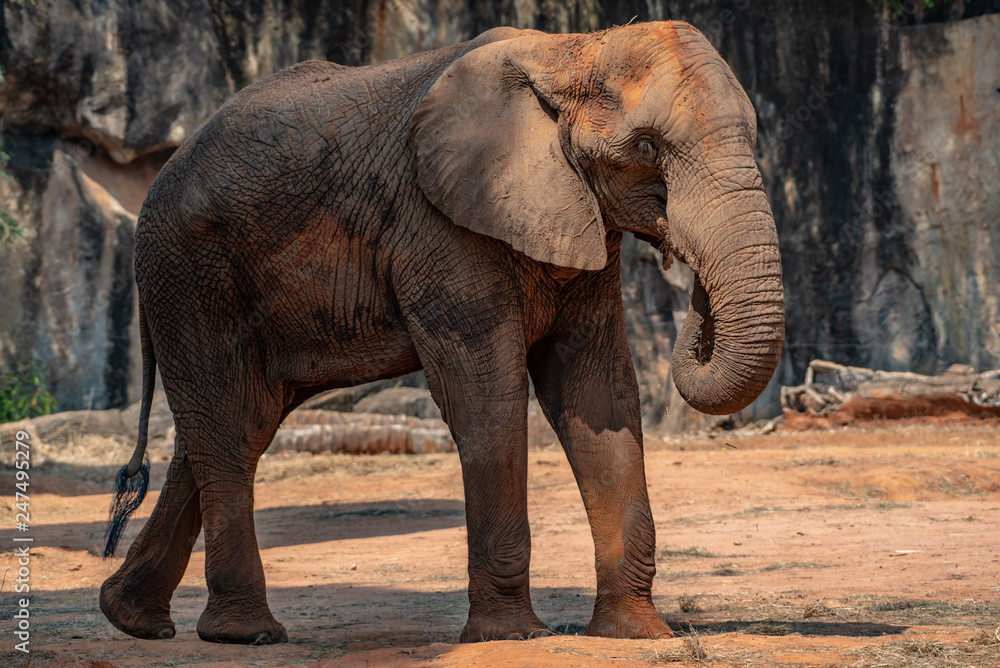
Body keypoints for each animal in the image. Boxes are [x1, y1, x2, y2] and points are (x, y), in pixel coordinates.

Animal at [99, 21, 784, 645]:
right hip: (191, 276)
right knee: (226, 425)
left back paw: (134, 619)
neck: (571, 49)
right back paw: (248, 635)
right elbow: (486, 395)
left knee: (236, 424)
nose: (680, 267)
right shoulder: (439, 226)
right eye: (646, 146)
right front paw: (511, 636)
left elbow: (598, 391)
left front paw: (637, 635)